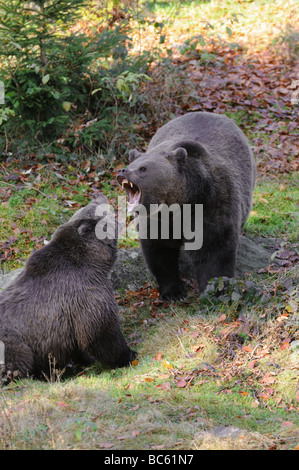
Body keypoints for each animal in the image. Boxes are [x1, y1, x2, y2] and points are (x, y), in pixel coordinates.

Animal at [0, 195, 136, 382]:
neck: (94, 262)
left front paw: (85, 359)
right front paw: (128, 355)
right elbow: (100, 333)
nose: (99, 196)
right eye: (99, 209)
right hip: (13, 341)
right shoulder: (86, 295)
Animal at [117, 112, 255, 300]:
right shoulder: (157, 220)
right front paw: (173, 292)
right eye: (131, 164)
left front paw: (215, 290)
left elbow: (214, 249)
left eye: (143, 168)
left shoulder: (212, 202)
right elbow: (160, 253)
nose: (122, 171)